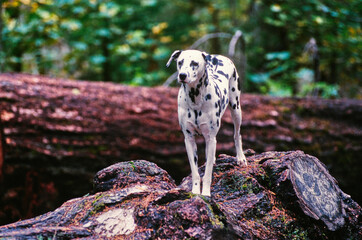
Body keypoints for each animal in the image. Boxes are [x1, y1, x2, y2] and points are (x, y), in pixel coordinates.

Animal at [166, 49, 246, 197]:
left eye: (194, 63)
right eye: (180, 62)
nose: (182, 75)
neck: (195, 99)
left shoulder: (210, 136)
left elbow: (208, 173)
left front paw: (206, 193)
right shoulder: (189, 139)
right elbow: (195, 172)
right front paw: (195, 192)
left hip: (236, 108)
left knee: (237, 135)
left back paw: (240, 158)